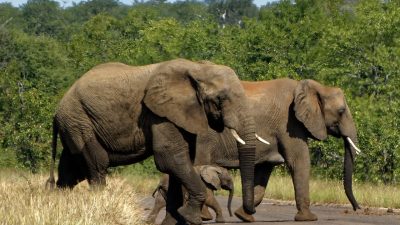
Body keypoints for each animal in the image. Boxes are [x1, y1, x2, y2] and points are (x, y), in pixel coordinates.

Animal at [44, 58, 256, 225]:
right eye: (220, 99)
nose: (249, 212)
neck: (197, 67)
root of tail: (56, 111)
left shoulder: (181, 114)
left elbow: (181, 160)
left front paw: (175, 220)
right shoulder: (158, 112)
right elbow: (170, 158)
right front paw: (191, 218)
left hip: (73, 125)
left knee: (71, 171)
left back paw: (58, 206)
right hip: (80, 121)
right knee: (97, 165)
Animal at [195, 78, 362, 221]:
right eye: (341, 111)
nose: (358, 208)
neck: (314, 87)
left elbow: (264, 171)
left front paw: (243, 216)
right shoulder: (289, 124)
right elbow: (300, 161)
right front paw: (309, 218)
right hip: (202, 139)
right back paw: (204, 217)